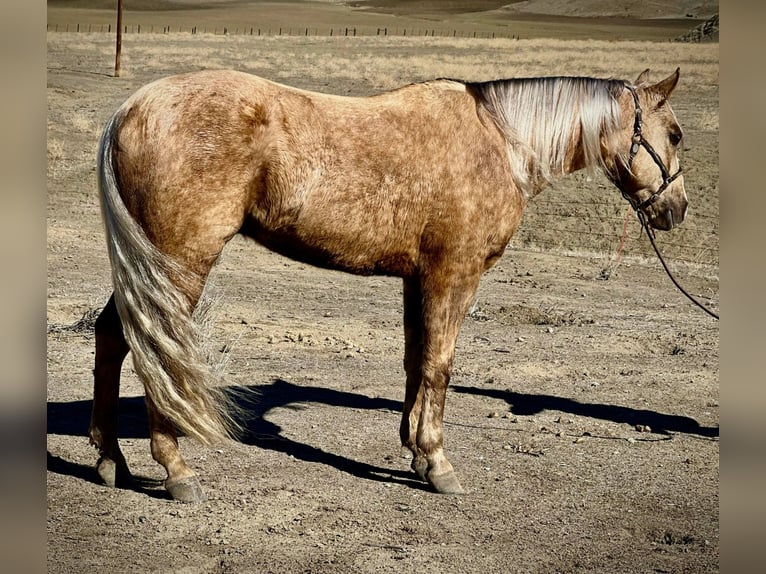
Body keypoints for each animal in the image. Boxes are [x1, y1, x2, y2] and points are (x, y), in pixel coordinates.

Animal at [90, 67, 688, 502]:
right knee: (155, 348)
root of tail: (131, 108)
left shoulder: (417, 278)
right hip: (179, 263)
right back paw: (176, 471)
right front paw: (439, 465)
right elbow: (440, 365)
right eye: (676, 134)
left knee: (113, 336)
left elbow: (415, 362)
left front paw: (416, 455)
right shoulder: (454, 275)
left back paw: (111, 459)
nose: (677, 210)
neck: (499, 141)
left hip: (149, 264)